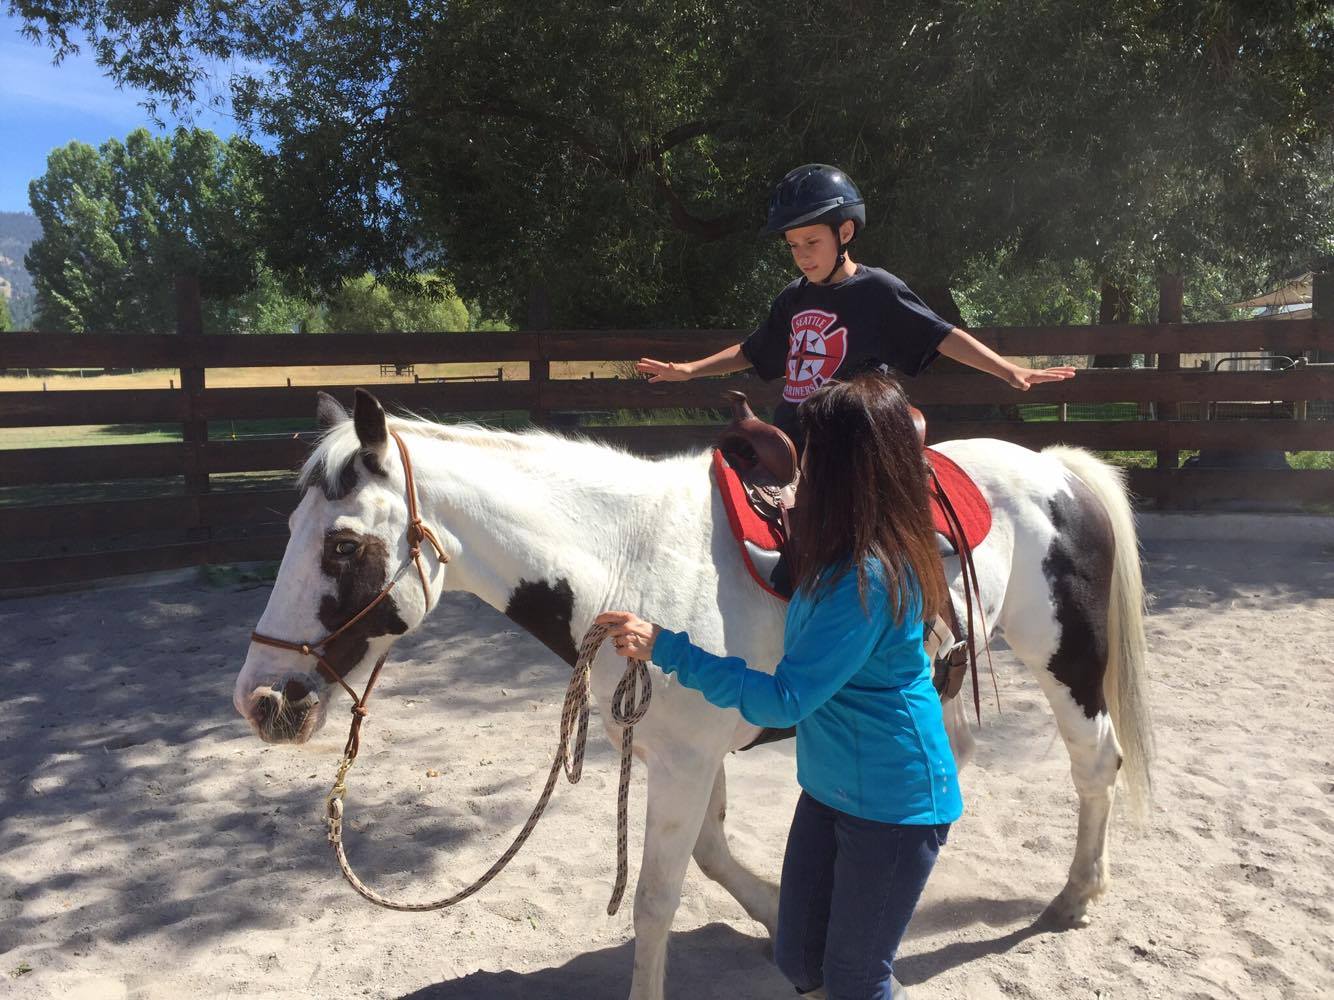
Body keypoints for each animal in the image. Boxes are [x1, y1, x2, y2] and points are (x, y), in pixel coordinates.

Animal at [232, 388, 1152, 1000]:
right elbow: (712, 857)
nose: (263, 699)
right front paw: (780, 917)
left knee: (1095, 764)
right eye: (291, 532)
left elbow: (654, 900)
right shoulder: (682, 754)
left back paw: (1076, 896)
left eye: (344, 545)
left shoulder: (681, 762)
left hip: (1064, 660)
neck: (628, 560)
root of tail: (1055, 470)